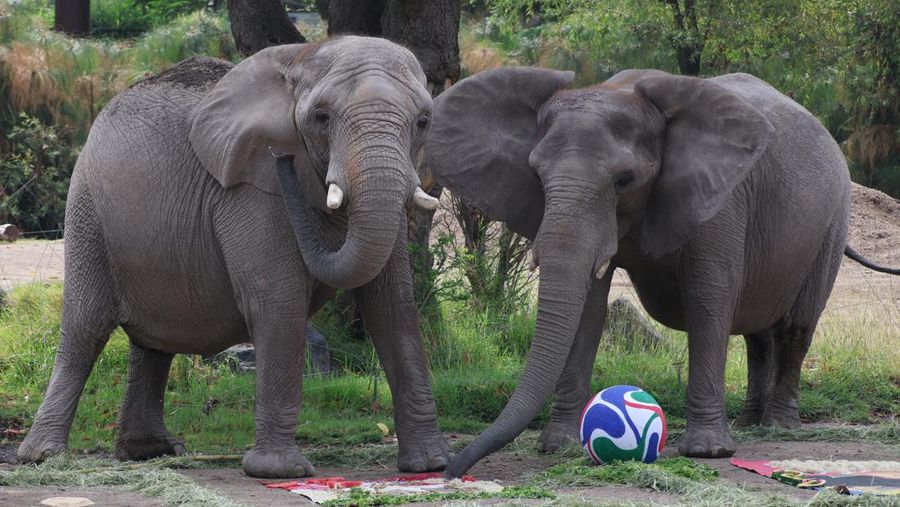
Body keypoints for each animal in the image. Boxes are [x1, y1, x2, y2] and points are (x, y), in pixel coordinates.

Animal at [17, 36, 451, 478]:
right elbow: (278, 300)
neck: (303, 57)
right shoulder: (249, 191)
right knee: (85, 327)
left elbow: (392, 307)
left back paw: (150, 451)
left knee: (153, 341)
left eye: (423, 122)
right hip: (88, 210)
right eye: (321, 117)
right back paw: (45, 456)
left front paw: (430, 465)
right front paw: (281, 471)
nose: (284, 160)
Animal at [425, 67, 900, 477]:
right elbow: (587, 308)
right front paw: (558, 446)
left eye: (624, 180)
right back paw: (749, 423)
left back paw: (778, 426)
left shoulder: (720, 200)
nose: (450, 471)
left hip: (832, 223)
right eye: (537, 176)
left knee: (796, 326)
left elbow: (708, 300)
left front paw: (707, 452)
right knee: (757, 332)